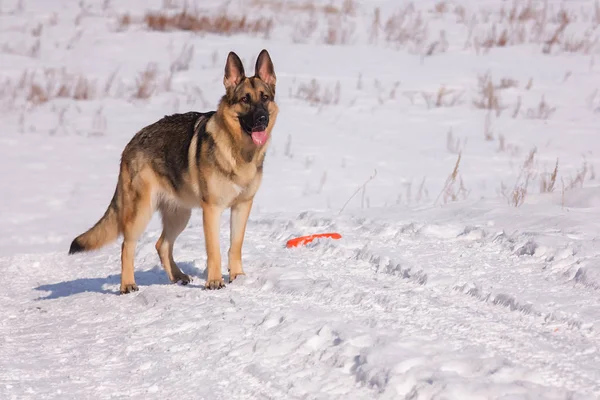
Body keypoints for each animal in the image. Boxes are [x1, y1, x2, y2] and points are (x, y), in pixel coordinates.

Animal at [69, 50, 280, 294]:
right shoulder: (212, 210)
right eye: (245, 99)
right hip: (141, 211)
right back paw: (127, 284)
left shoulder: (242, 206)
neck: (238, 150)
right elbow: (214, 250)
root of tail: (132, 141)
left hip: (180, 214)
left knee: (162, 244)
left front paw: (238, 277)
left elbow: (235, 245)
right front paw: (214, 281)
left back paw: (177, 276)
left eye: (265, 98)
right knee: (126, 246)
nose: (262, 120)